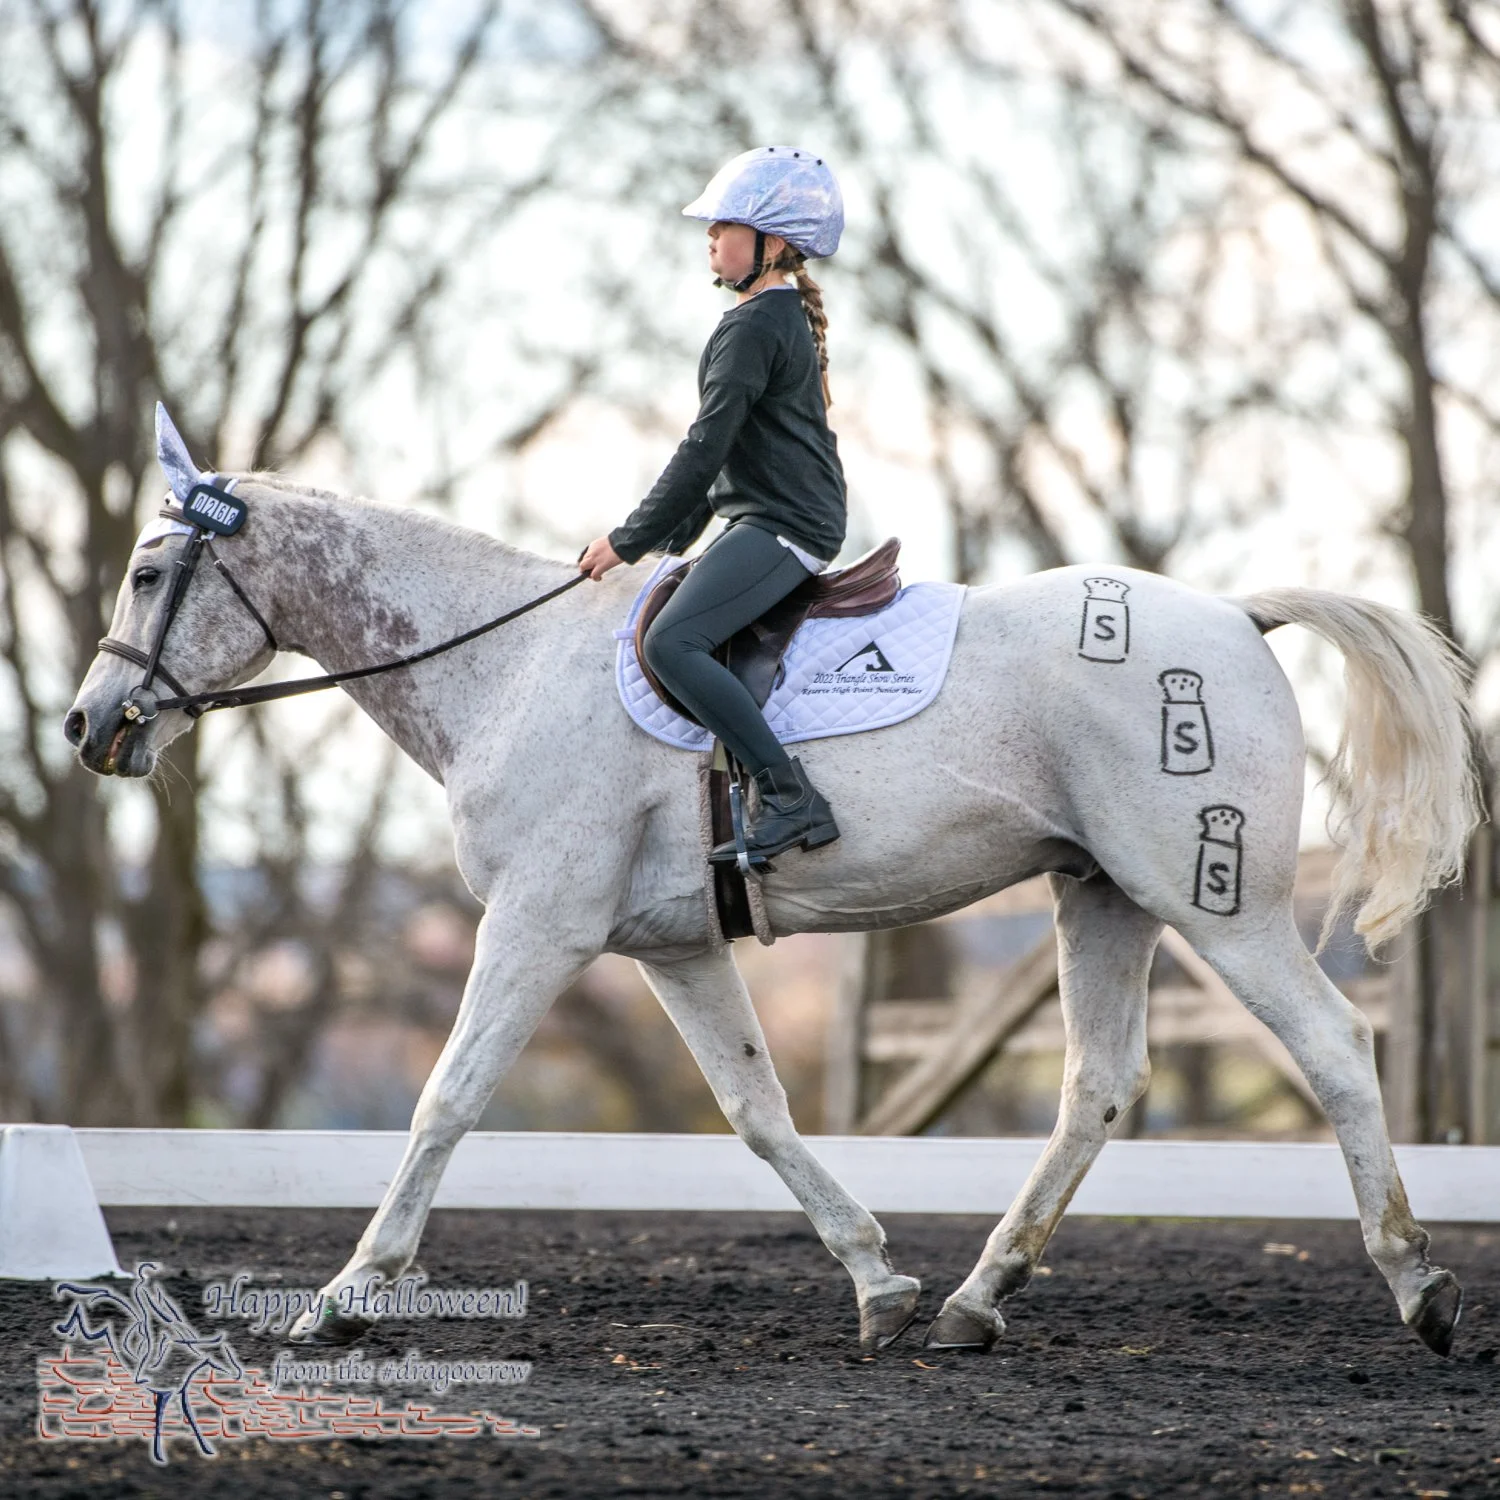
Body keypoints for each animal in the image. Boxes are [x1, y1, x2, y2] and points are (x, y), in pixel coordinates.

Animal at [65, 442, 1479, 1360]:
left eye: (148, 574)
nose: (88, 727)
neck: (504, 668)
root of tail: (1238, 617)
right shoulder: (672, 949)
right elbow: (757, 1113)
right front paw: (877, 1280)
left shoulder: (536, 924)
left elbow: (445, 1100)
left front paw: (348, 1297)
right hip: (1106, 896)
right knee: (1098, 1083)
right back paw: (974, 1301)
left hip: (1213, 901)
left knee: (1332, 1047)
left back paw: (1420, 1286)